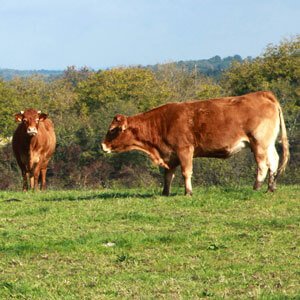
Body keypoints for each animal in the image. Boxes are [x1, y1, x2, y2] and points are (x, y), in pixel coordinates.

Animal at [102, 90, 290, 196]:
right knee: (274, 161)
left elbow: (186, 172)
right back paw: (270, 187)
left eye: (112, 130)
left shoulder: (184, 149)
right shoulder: (169, 155)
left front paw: (188, 192)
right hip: (268, 143)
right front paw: (165, 193)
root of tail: (263, 94)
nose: (102, 146)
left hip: (258, 142)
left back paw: (257, 187)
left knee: (263, 165)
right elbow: (168, 175)